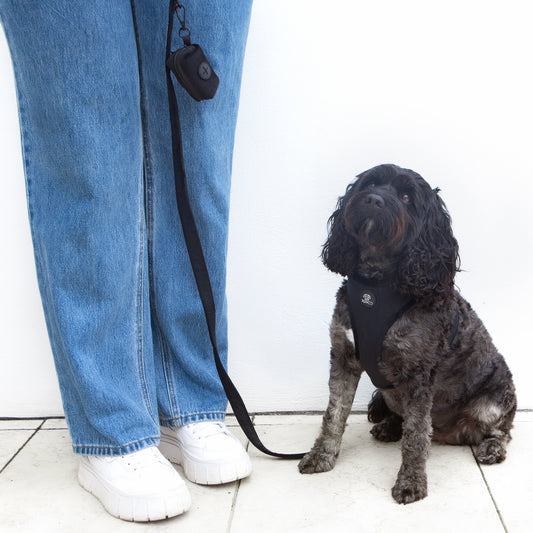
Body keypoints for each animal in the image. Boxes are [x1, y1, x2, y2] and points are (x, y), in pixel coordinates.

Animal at [298, 164, 512, 504]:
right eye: (369, 183)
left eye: (406, 196)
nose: (373, 200)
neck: (376, 285)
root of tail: (451, 432)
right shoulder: (343, 357)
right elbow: (334, 414)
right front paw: (321, 456)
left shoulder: (418, 374)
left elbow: (416, 436)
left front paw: (411, 482)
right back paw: (388, 427)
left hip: (493, 402)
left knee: (502, 429)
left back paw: (491, 447)